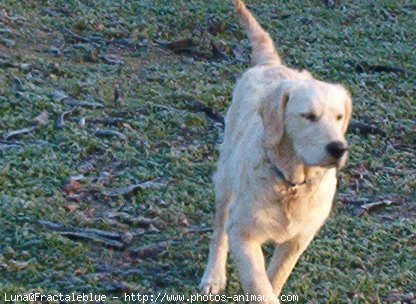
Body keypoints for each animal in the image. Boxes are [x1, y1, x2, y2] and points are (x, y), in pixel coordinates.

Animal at [200, 0, 352, 302]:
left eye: (339, 117)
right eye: (308, 116)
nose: (338, 148)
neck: (290, 181)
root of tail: (270, 65)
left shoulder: (300, 238)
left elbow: (276, 276)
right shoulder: (243, 233)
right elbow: (259, 283)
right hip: (225, 179)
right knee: (219, 231)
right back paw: (213, 276)